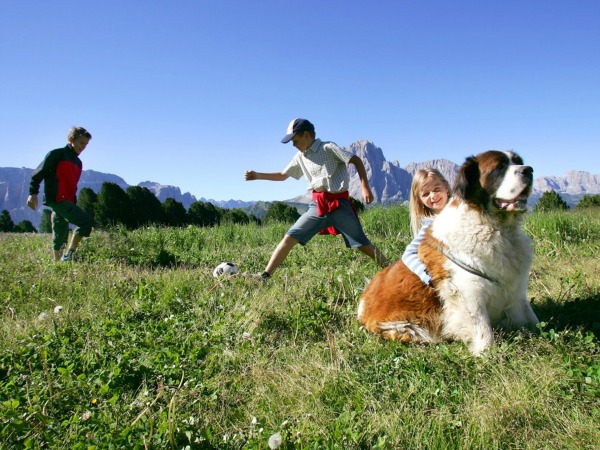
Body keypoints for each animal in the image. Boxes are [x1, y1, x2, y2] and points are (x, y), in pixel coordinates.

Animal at [356, 151, 540, 356]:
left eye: (518, 161)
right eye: (499, 167)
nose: (529, 170)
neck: (496, 228)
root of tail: (363, 302)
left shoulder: (514, 287)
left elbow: (529, 315)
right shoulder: (467, 290)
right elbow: (482, 327)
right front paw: (486, 353)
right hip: (404, 325)